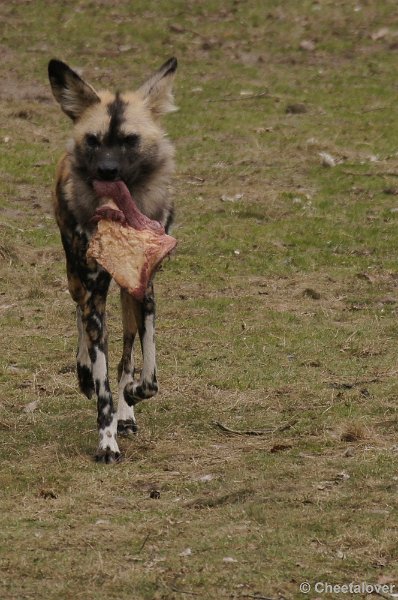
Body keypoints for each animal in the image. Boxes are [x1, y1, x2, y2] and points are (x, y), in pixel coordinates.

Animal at [48, 56, 177, 462]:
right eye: (93, 140)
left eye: (129, 141)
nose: (107, 171)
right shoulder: (94, 292)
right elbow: (103, 383)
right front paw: (106, 441)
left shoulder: (144, 290)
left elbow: (147, 376)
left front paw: (130, 399)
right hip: (78, 280)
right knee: (79, 315)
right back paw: (84, 373)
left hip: (126, 295)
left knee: (127, 351)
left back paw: (127, 412)